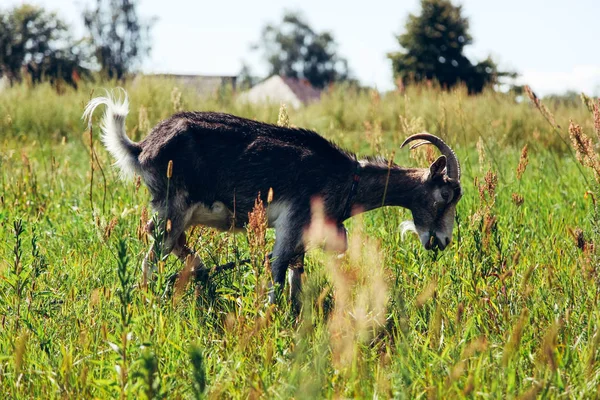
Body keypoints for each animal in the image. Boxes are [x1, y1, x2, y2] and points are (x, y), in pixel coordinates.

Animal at [82, 90, 462, 304]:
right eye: (446, 194)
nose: (442, 242)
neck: (348, 179)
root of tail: (142, 147)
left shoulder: (304, 232)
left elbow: (296, 274)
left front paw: (296, 311)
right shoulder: (293, 222)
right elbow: (279, 271)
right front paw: (270, 315)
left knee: (170, 241)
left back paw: (199, 271)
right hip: (174, 206)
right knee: (154, 250)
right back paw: (152, 295)